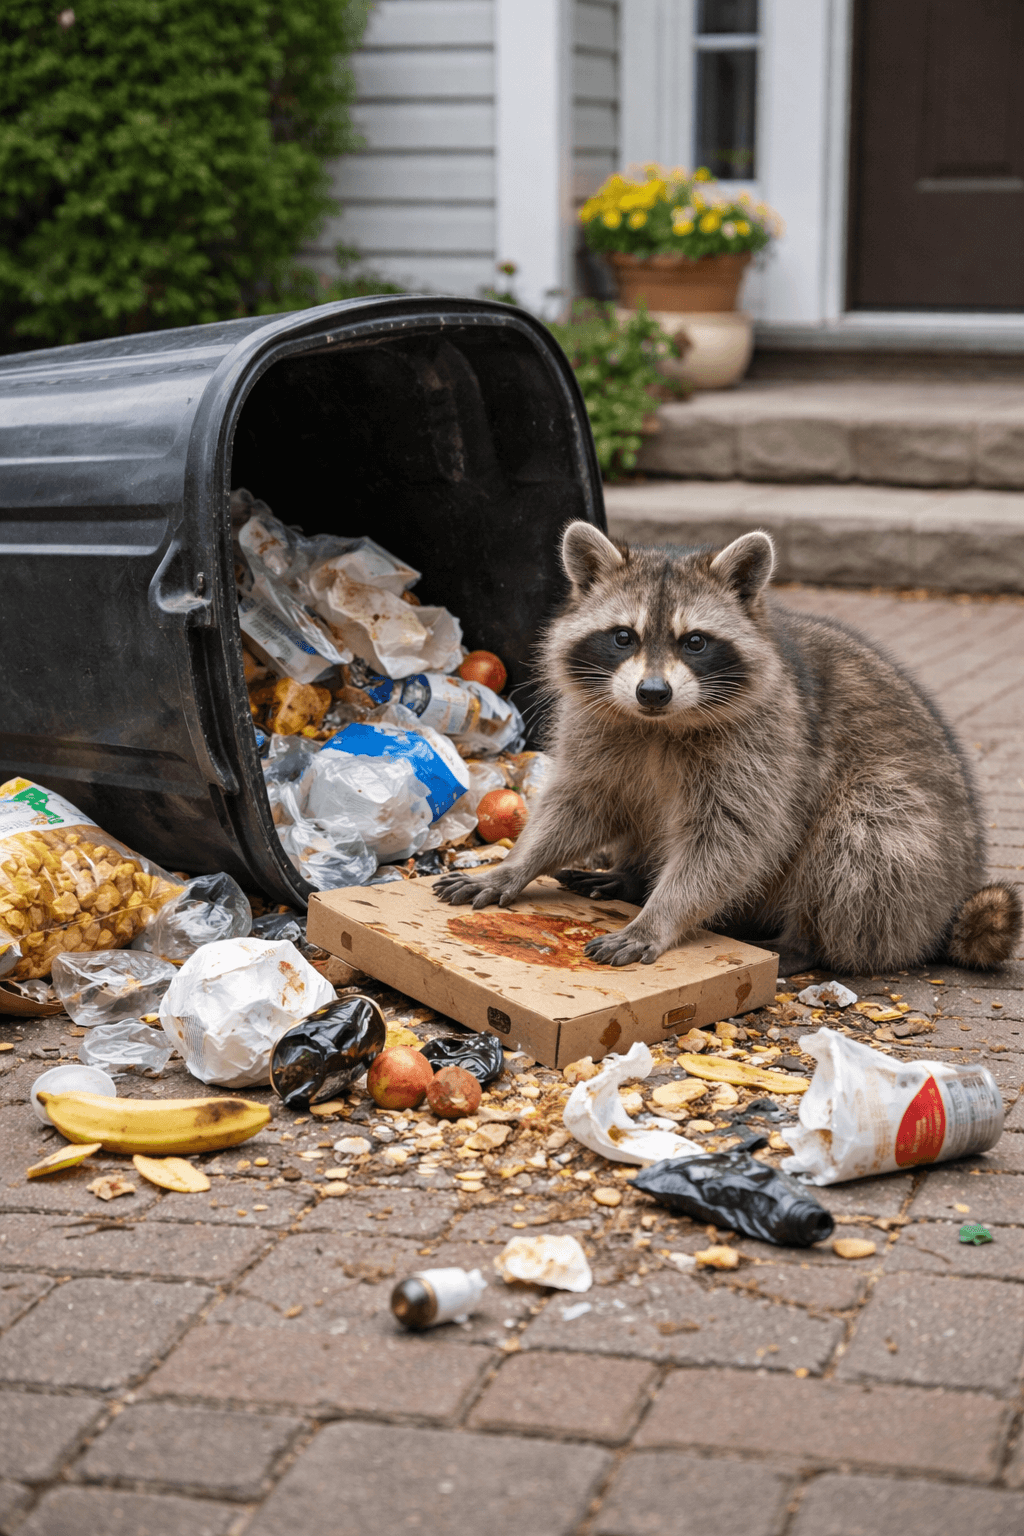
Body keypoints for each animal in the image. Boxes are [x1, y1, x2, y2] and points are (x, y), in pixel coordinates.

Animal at [436, 522, 1021, 974]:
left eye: (694, 642)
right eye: (623, 637)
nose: (653, 692)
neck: (659, 725)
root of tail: (947, 906)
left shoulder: (768, 744)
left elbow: (730, 840)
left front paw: (659, 917)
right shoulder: (598, 725)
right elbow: (579, 802)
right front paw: (516, 865)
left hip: (912, 845)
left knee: (861, 836)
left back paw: (802, 942)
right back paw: (630, 877)